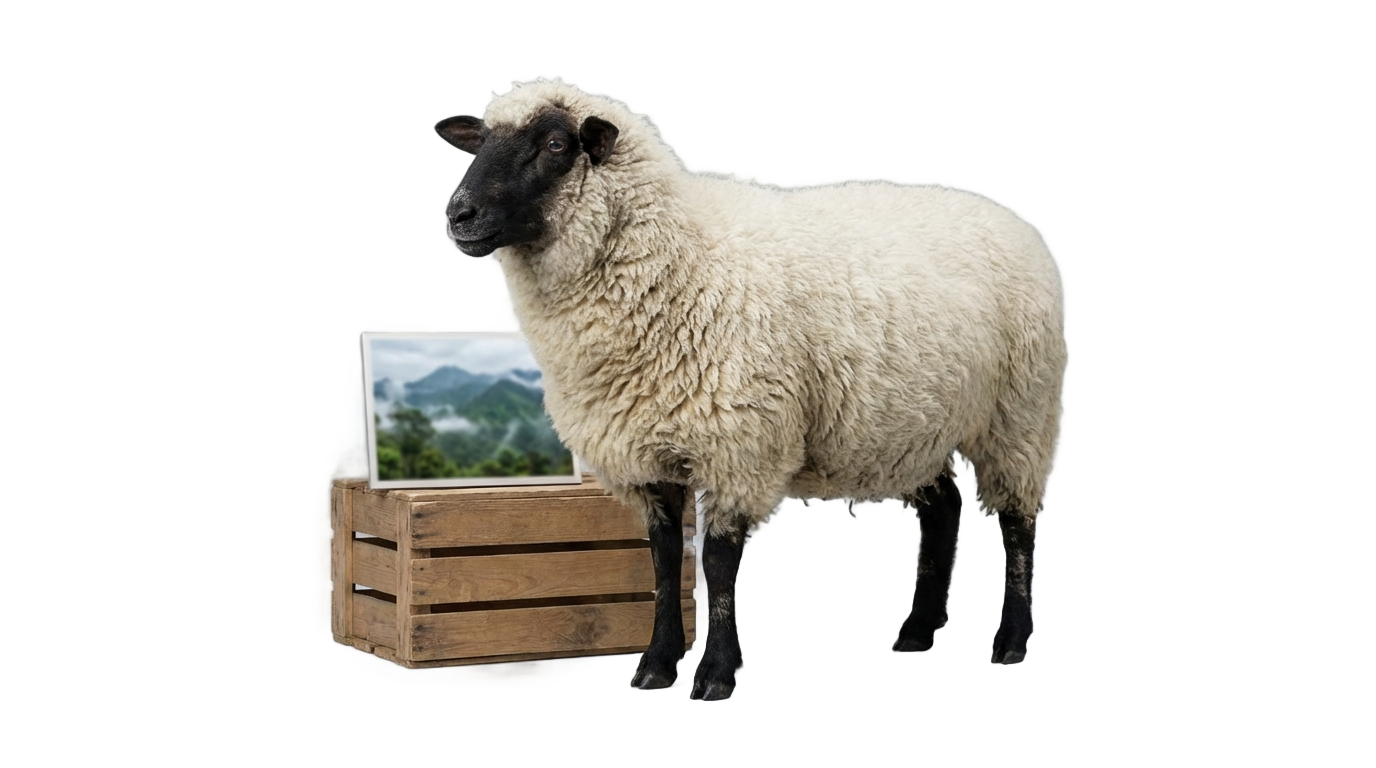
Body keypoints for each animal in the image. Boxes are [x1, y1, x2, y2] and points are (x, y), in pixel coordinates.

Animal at [433, 81, 1062, 700]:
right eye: (480, 141)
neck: (677, 262)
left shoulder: (739, 444)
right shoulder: (645, 453)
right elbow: (664, 560)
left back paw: (1010, 642)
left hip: (1018, 410)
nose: (459, 215)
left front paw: (716, 674)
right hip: (911, 426)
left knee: (1017, 521)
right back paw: (915, 633)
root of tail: (1003, 215)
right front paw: (657, 665)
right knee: (944, 509)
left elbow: (717, 562)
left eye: (556, 144)